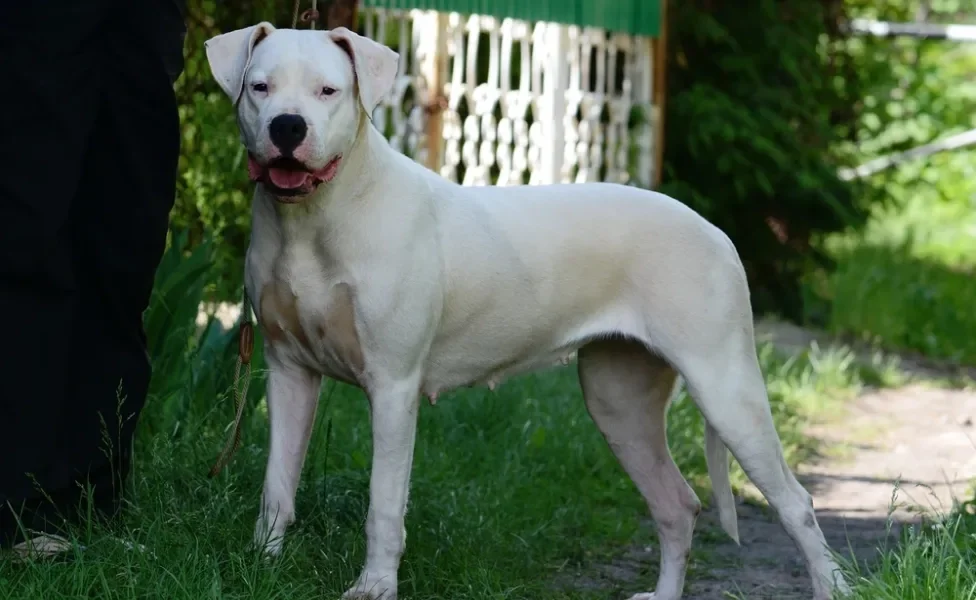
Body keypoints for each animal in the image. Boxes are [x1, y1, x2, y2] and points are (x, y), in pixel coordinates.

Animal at [208, 21, 856, 596]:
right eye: (260, 87)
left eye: (328, 91)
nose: (287, 127)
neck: (316, 219)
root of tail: (716, 231)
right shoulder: (289, 372)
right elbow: (276, 485)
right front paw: (262, 566)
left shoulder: (392, 386)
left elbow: (384, 504)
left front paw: (374, 587)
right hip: (619, 399)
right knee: (676, 505)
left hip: (725, 386)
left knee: (796, 505)